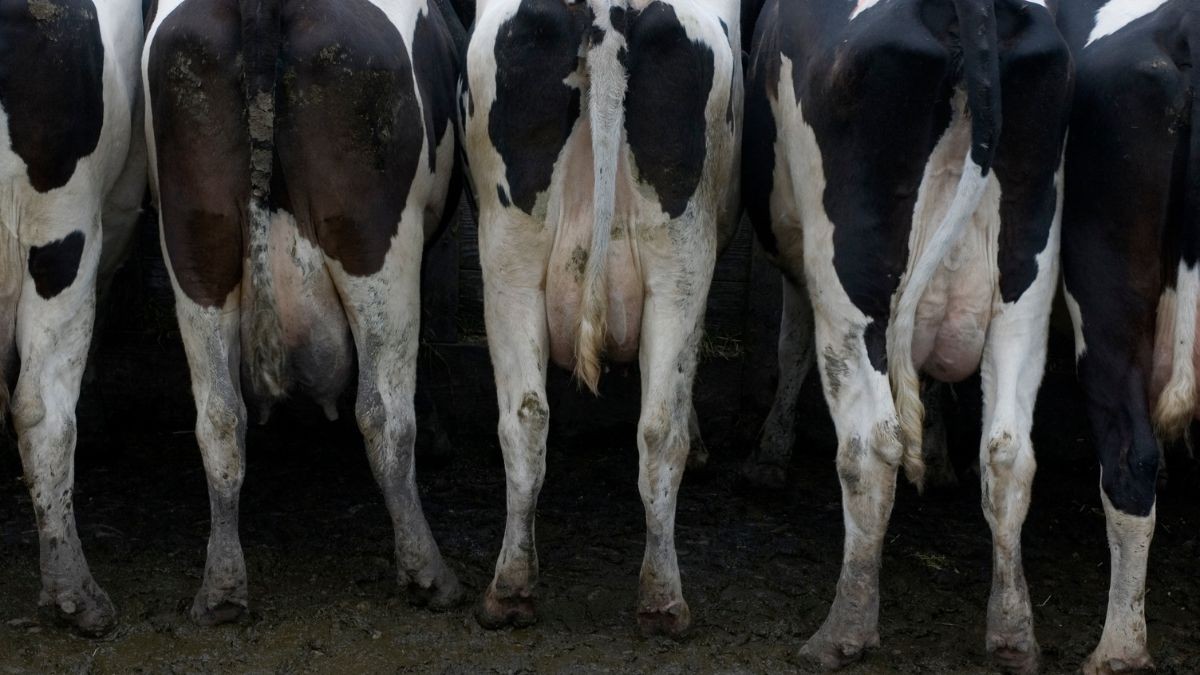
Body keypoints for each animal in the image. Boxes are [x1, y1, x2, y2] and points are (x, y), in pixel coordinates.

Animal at [142, 0, 465, 624]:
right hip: (374, 244)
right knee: (384, 415)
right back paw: (428, 572)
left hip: (195, 243)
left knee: (220, 417)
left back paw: (221, 587)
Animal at [744, 0, 1075, 667]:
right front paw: (942, 459)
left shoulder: (800, 262)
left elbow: (792, 345)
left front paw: (770, 454)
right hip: (1025, 282)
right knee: (1007, 453)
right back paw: (1013, 634)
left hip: (851, 282)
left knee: (872, 446)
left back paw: (842, 630)